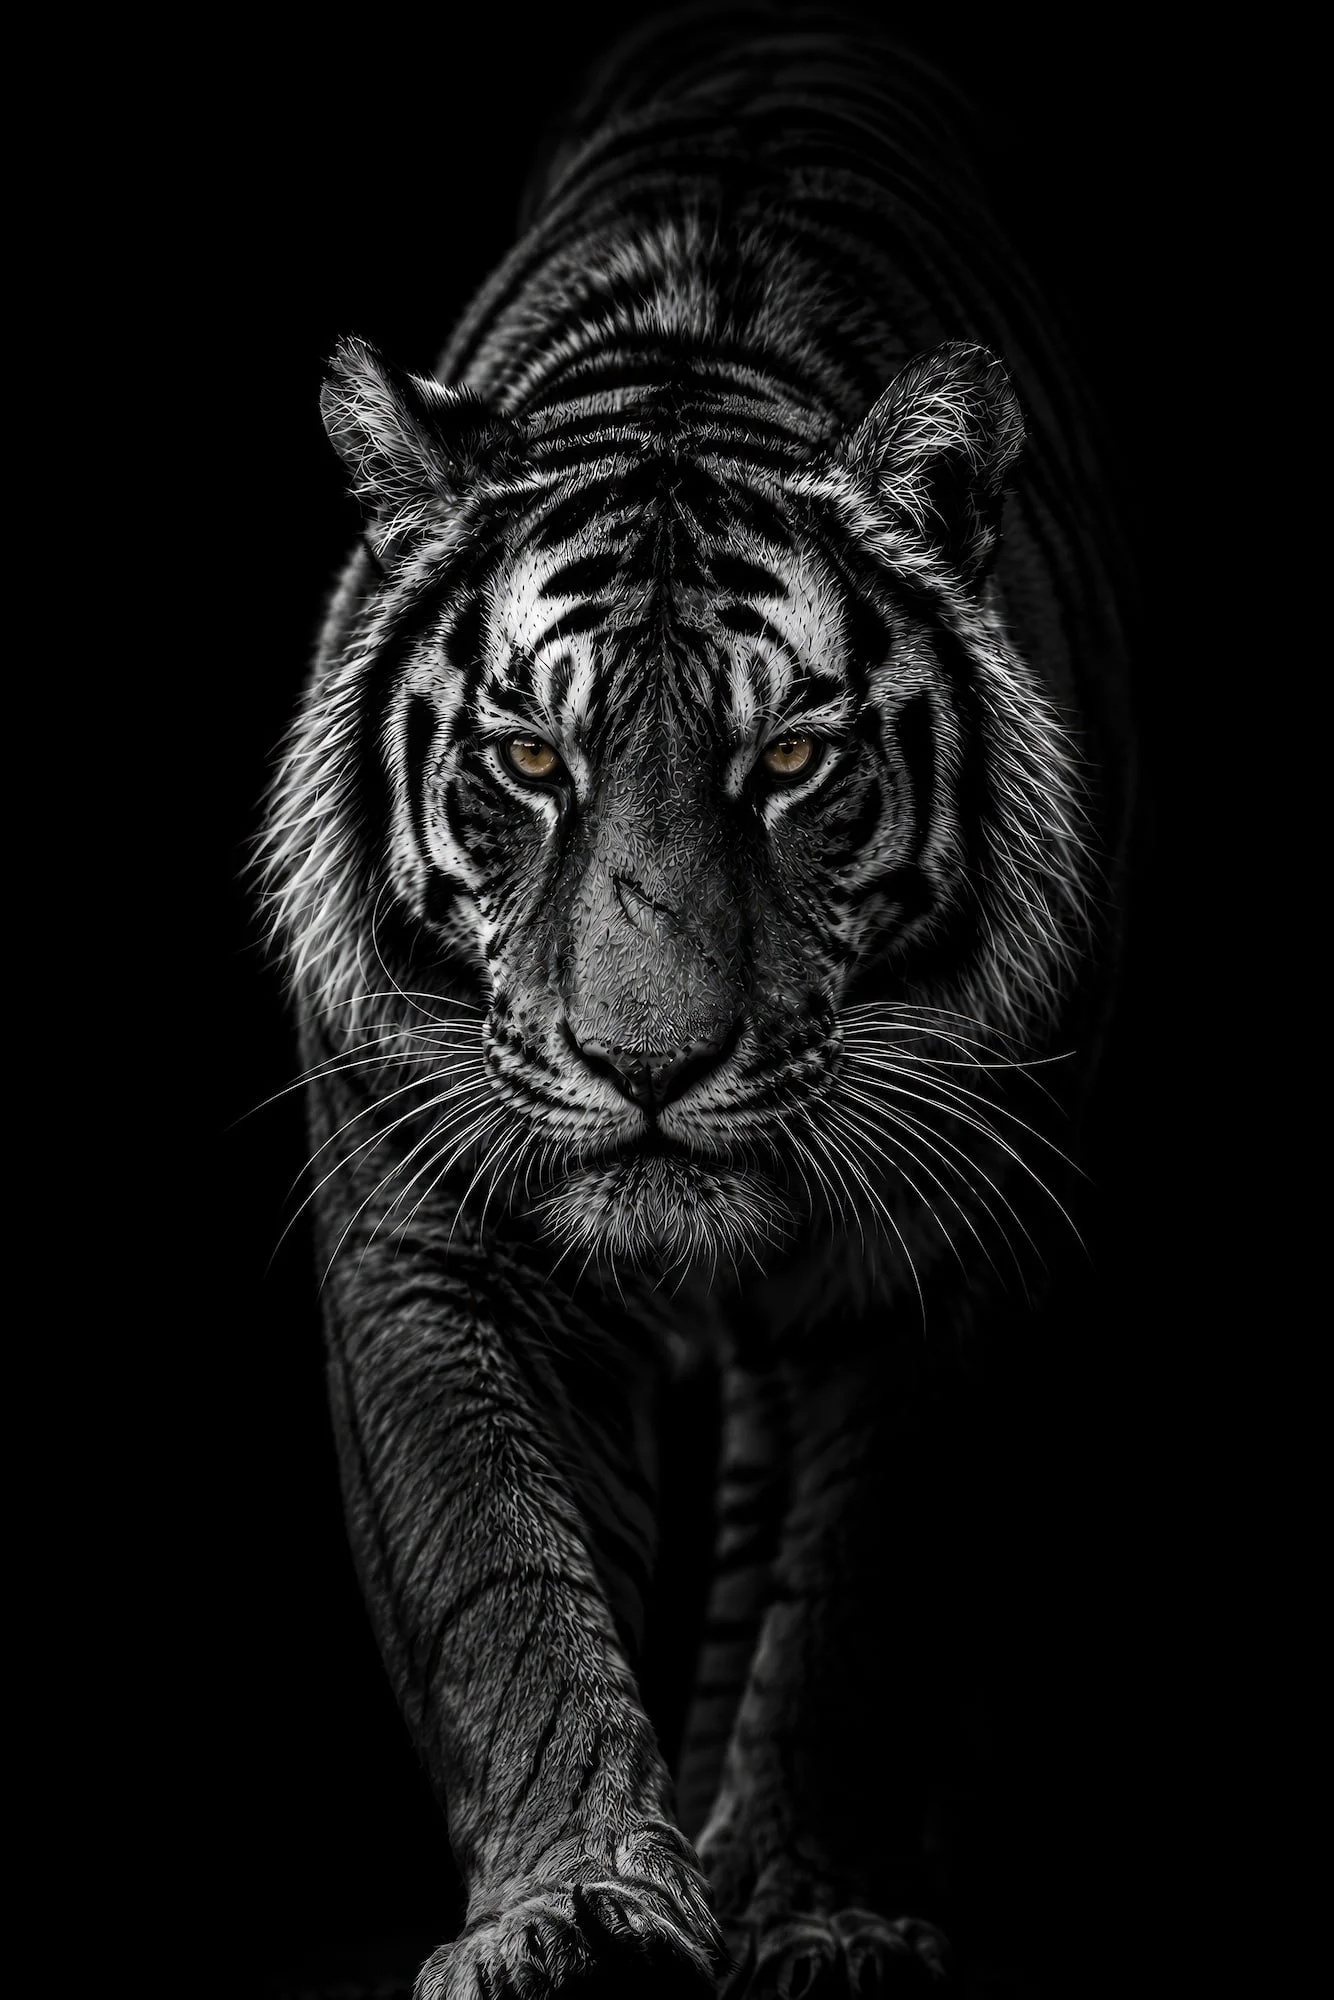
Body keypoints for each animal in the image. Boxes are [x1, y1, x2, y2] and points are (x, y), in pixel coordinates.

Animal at [260, 6, 1133, 1995]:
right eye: (529, 756)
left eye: (790, 760)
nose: (645, 1065)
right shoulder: (423, 1239)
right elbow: (500, 1580)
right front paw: (569, 1908)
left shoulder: (953, 1251)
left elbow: (854, 1606)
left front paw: (808, 1910)